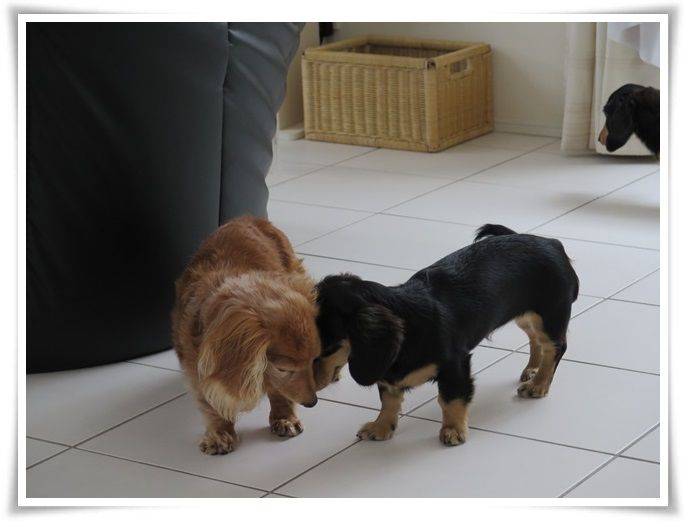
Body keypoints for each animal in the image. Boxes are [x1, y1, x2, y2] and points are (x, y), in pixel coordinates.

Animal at [172, 215, 320, 455]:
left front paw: (285, 418)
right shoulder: (197, 361)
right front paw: (220, 434)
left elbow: (279, 391)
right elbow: (210, 399)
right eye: (284, 369)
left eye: (314, 360)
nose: (312, 402)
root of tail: (246, 218)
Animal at [313, 224, 579, 446]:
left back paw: (539, 383)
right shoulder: (387, 373)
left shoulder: (455, 365)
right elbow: (388, 399)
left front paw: (453, 430)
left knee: (555, 348)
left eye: (326, 348)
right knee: (535, 340)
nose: (311, 394)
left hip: (550, 315)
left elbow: (450, 399)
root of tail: (552, 243)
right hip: (525, 314)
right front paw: (381, 426)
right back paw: (532, 369)